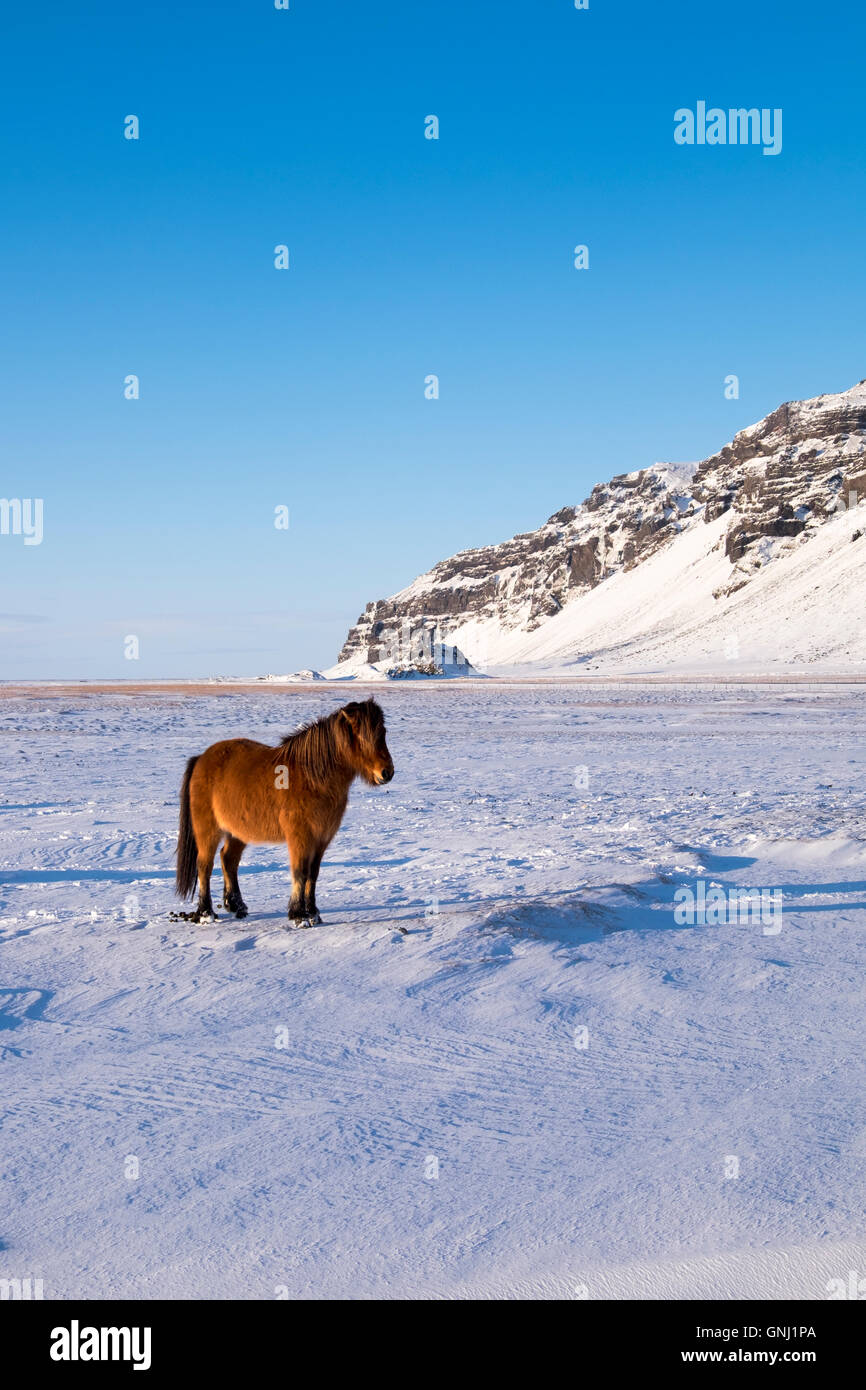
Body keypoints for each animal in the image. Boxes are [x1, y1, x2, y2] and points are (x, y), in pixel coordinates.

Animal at [174, 698, 394, 926]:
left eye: (383, 732)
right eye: (361, 735)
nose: (387, 773)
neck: (312, 778)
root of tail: (201, 759)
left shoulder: (321, 839)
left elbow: (313, 874)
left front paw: (313, 913)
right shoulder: (300, 838)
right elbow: (300, 872)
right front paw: (299, 915)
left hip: (238, 832)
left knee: (229, 860)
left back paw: (237, 906)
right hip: (208, 831)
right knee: (204, 866)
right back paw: (206, 912)